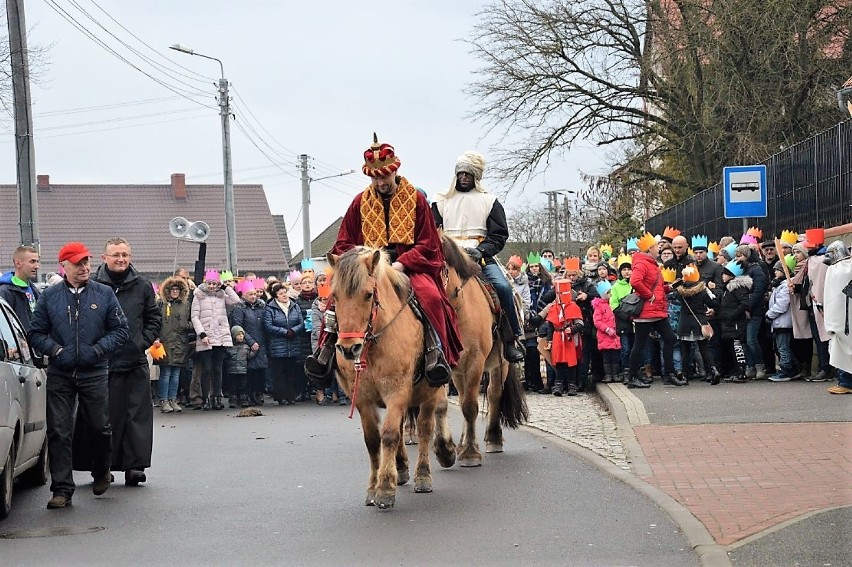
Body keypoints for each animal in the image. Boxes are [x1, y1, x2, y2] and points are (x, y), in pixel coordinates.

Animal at [328, 247, 460, 510]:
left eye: (368, 294)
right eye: (335, 296)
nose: (349, 348)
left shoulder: (397, 391)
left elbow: (389, 435)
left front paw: (385, 489)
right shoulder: (364, 399)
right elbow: (372, 439)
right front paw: (373, 487)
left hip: (429, 392)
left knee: (425, 427)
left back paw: (423, 474)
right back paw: (401, 468)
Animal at [440, 235, 524, 466]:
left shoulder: (475, 360)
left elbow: (470, 406)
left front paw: (470, 453)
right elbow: (458, 403)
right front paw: (460, 448)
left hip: (501, 363)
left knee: (494, 393)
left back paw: (493, 439)